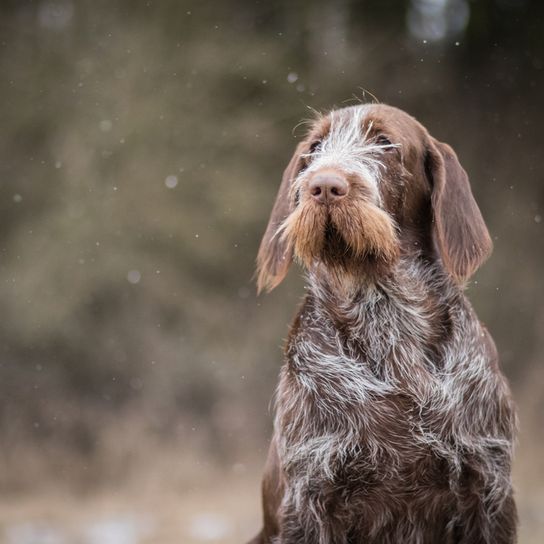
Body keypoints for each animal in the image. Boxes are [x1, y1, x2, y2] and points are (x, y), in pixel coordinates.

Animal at [249, 103, 516, 544]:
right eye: (315, 147)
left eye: (385, 143)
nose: (324, 185)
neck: (384, 311)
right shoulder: (309, 498)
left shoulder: (489, 487)